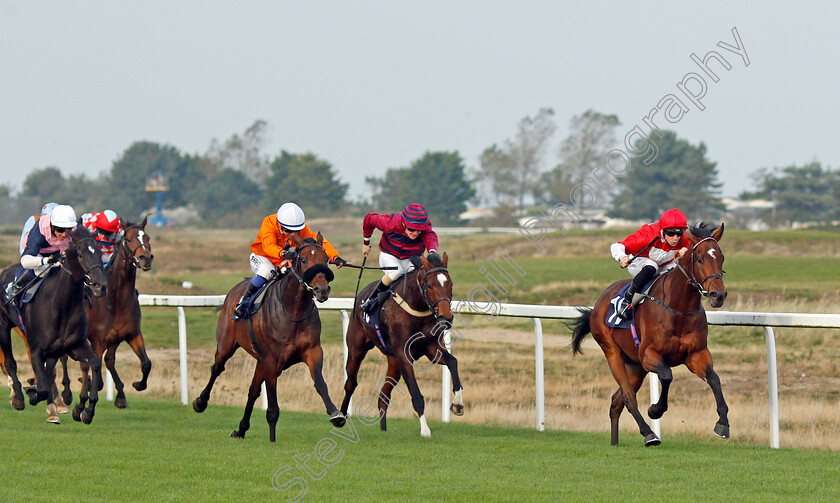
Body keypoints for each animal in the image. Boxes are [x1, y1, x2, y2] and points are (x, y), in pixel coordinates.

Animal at [0, 225, 108, 426]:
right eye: (80, 254)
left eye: (99, 253)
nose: (100, 286)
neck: (61, 305)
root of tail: (5, 270)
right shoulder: (35, 348)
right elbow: (41, 388)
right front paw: (31, 392)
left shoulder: (74, 345)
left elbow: (95, 363)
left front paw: (85, 411)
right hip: (4, 327)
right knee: (10, 363)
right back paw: (18, 397)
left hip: (54, 349)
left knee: (49, 371)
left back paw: (53, 408)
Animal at [64, 217, 154, 418]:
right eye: (128, 239)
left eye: (147, 238)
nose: (145, 258)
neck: (116, 299)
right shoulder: (98, 341)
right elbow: (94, 369)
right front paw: (84, 402)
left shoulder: (131, 334)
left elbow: (145, 363)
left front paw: (137, 385)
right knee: (67, 360)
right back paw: (68, 395)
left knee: (108, 361)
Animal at [193, 232, 344, 440]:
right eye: (304, 259)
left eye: (326, 260)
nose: (321, 290)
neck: (293, 310)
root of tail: (234, 291)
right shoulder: (272, 361)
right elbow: (272, 406)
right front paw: (272, 439)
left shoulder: (312, 352)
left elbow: (320, 383)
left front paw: (336, 414)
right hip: (226, 344)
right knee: (217, 368)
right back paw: (200, 402)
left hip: (260, 360)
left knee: (253, 391)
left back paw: (241, 429)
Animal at [338, 254, 462, 440]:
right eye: (429, 285)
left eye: (450, 284)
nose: (446, 317)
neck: (417, 308)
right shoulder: (404, 356)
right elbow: (416, 395)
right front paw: (425, 430)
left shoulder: (432, 349)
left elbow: (453, 362)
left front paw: (458, 404)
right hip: (356, 349)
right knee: (350, 383)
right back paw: (339, 417)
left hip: (394, 363)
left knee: (383, 395)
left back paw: (383, 429)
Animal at [572, 222, 728, 446]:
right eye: (699, 259)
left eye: (721, 258)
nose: (718, 295)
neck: (677, 308)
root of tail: (600, 301)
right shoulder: (649, 355)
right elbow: (667, 375)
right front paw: (655, 409)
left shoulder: (696, 354)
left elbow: (714, 379)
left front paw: (723, 423)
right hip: (612, 353)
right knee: (628, 397)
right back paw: (649, 433)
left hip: (635, 366)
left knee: (616, 401)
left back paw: (615, 442)